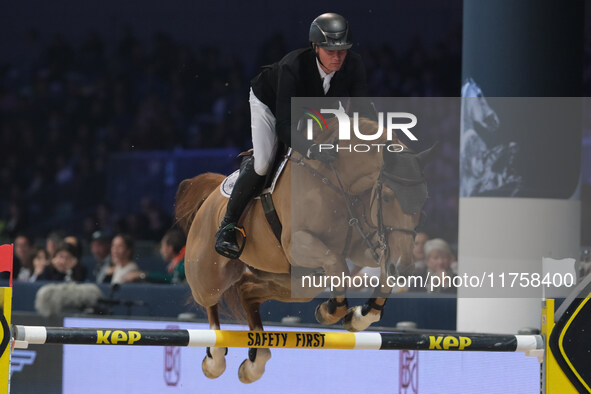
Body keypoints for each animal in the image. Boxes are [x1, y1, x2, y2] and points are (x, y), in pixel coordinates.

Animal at [176, 116, 434, 382]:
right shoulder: (298, 243)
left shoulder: (364, 246)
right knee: (210, 301)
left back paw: (255, 361)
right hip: (209, 275)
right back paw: (215, 358)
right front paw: (331, 311)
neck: (339, 183)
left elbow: (380, 270)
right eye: (388, 198)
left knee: (248, 290)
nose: (404, 269)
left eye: (423, 201)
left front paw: (360, 316)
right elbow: (337, 264)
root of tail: (212, 194)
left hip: (297, 282)